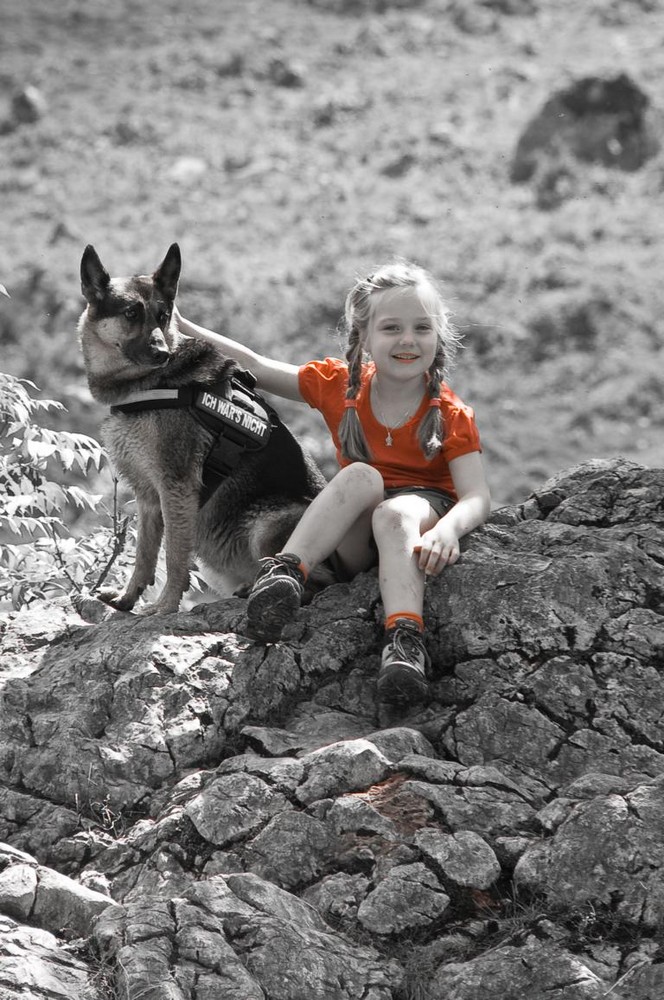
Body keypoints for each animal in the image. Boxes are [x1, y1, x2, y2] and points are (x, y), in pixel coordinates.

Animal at [79, 244, 328, 616]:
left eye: (163, 315)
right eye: (131, 313)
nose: (162, 353)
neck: (151, 384)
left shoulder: (177, 488)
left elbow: (174, 556)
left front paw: (165, 607)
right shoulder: (148, 497)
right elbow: (144, 554)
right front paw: (128, 599)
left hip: (269, 521)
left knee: (319, 579)